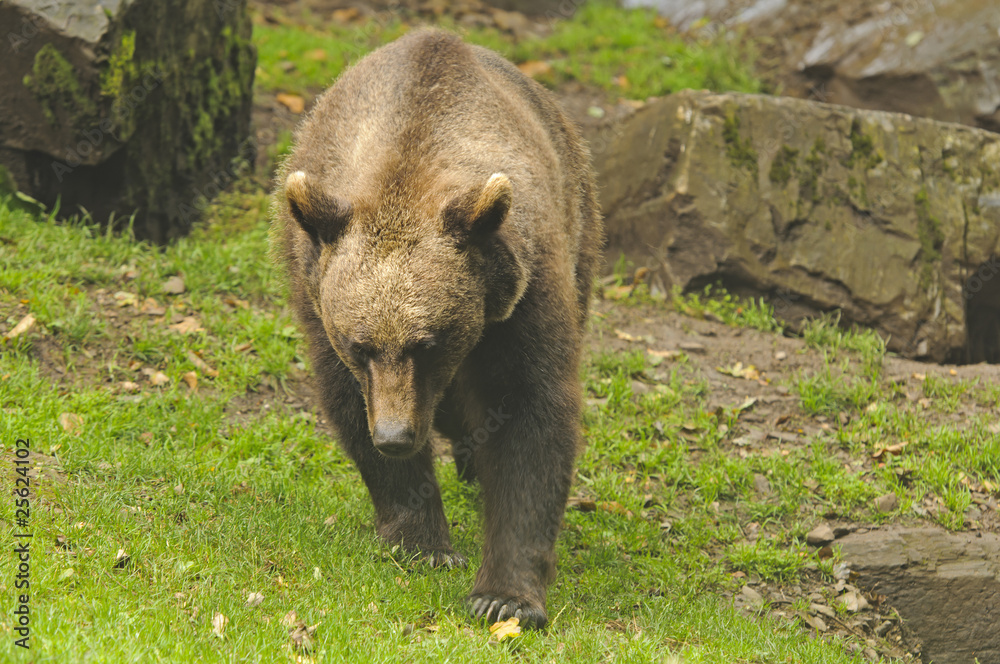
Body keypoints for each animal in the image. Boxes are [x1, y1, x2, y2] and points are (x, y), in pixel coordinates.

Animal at [270, 27, 600, 628]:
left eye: (428, 343)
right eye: (360, 345)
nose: (395, 435)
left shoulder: (524, 293)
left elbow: (530, 416)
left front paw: (504, 596)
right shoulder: (315, 290)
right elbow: (349, 404)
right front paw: (423, 542)